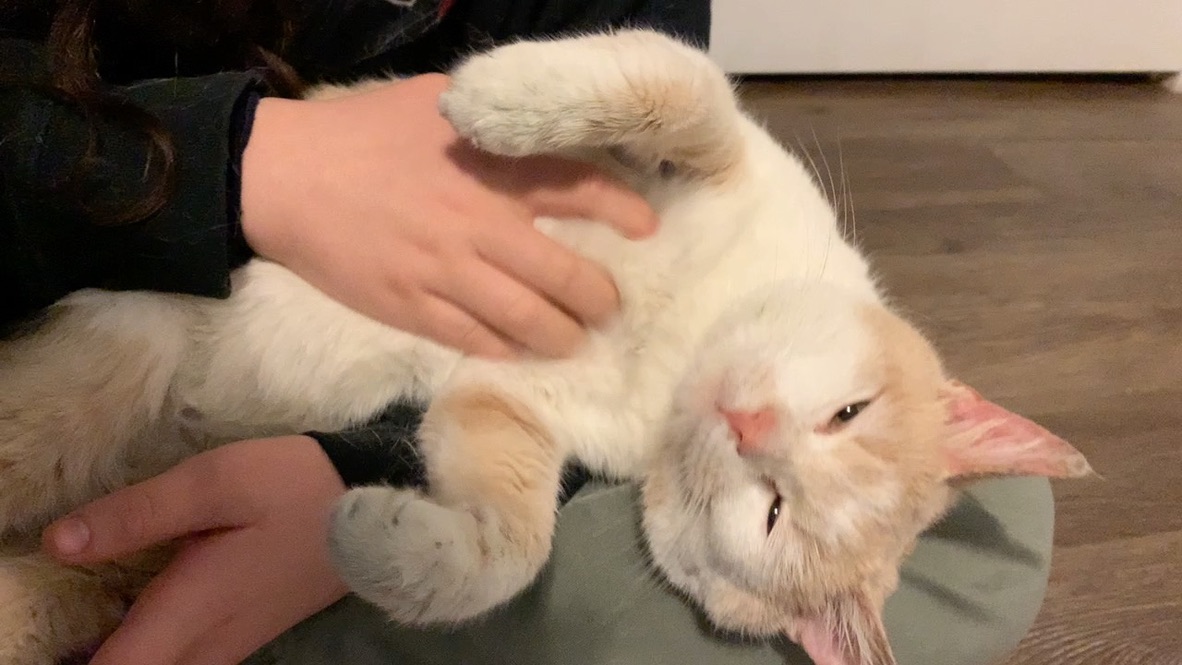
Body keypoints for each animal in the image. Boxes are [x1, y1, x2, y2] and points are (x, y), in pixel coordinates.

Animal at [0, 29, 1093, 665]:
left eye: (772, 513)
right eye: (847, 413)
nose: (747, 422)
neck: (683, 338)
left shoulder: (505, 407)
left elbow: (511, 549)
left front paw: (377, 544)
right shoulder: (717, 144)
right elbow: (680, 84)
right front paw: (495, 96)